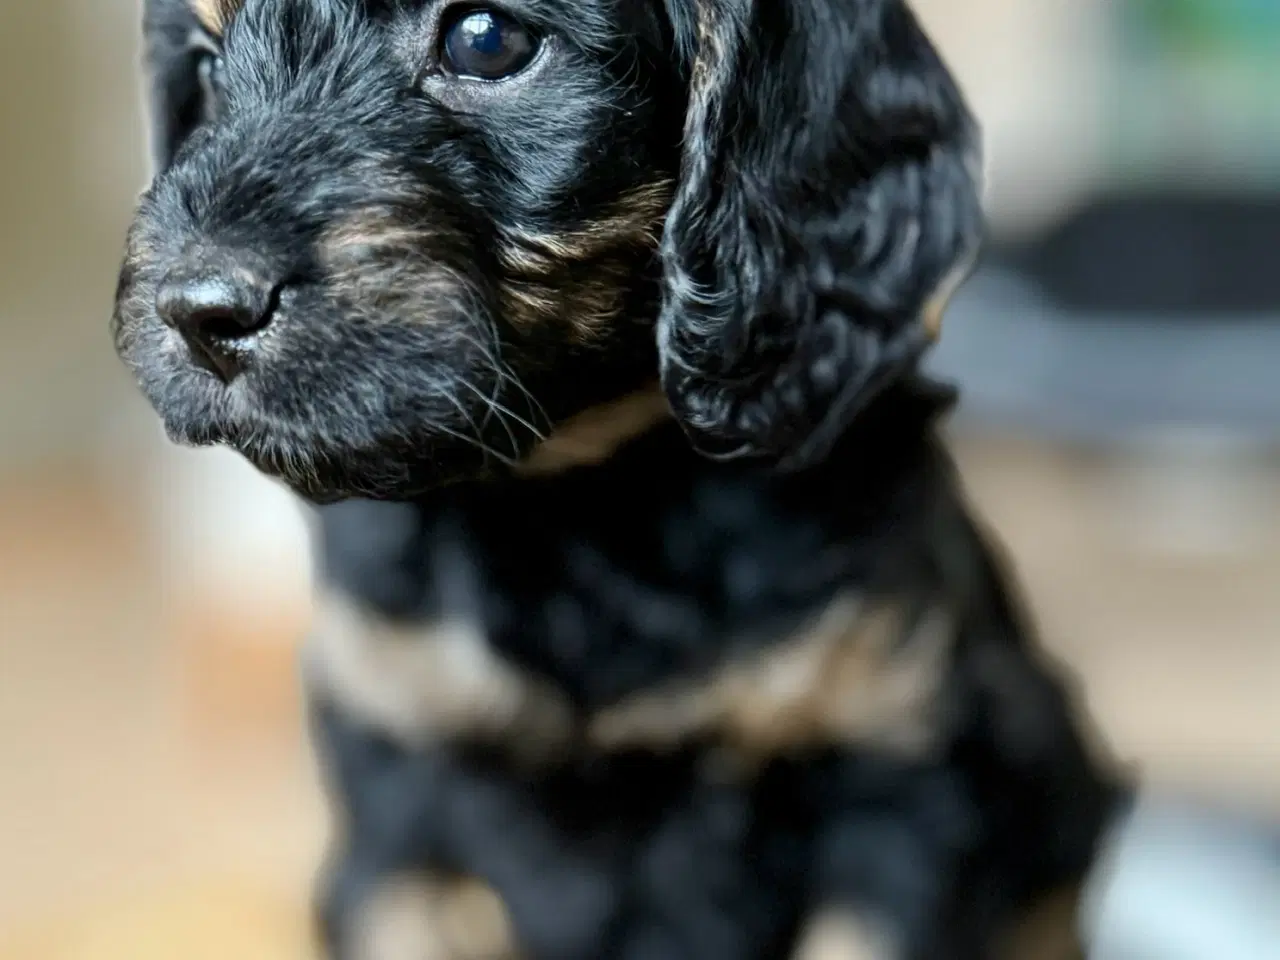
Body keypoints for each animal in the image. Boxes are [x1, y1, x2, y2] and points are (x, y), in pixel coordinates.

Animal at [115, 1, 1126, 960]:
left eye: (485, 39)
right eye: (206, 66)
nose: (199, 313)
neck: (577, 502)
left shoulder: (904, 772)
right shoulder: (396, 796)